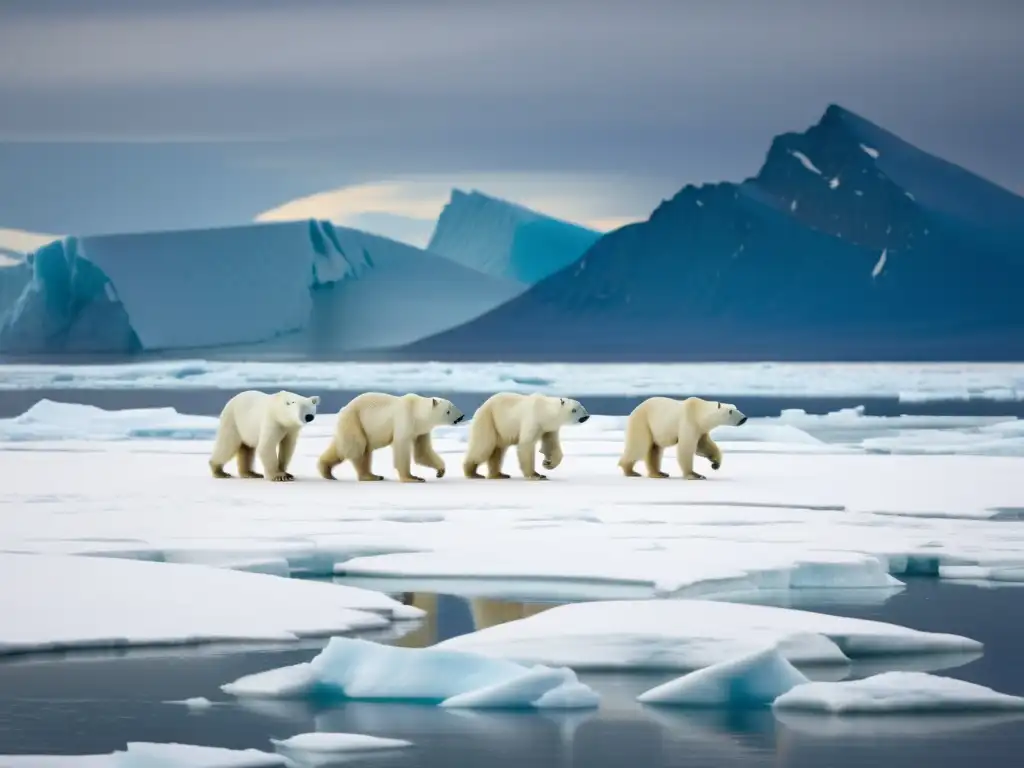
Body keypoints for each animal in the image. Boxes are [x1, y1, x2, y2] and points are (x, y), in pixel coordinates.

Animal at [317, 393, 466, 483]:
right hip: (355, 421)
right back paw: (370, 476)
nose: (461, 416)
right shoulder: (405, 419)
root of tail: (343, 409)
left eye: (453, 406)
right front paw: (413, 478)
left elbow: (422, 452)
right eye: (448, 411)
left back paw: (327, 471)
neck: (417, 413)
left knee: (340, 449)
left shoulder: (421, 432)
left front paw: (440, 471)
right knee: (358, 447)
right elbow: (401, 447)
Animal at [464, 397, 593, 481]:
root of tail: (482, 406)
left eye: (582, 406)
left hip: (499, 428)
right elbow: (526, 445)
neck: (543, 410)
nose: (585, 417)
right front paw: (537, 475)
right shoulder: (532, 420)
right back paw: (472, 473)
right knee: (483, 447)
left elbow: (552, 445)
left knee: (498, 451)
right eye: (574, 410)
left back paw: (499, 475)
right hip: (489, 419)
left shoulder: (549, 428)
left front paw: (548, 463)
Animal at [618, 397, 749, 481]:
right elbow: (686, 448)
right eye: (730, 411)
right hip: (642, 422)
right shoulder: (689, 422)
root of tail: (634, 410)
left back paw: (659, 473)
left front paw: (715, 463)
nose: (744, 418)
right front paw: (695, 475)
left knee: (654, 449)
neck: (698, 411)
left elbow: (704, 446)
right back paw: (630, 471)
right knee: (639, 447)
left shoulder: (700, 429)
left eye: (736, 407)